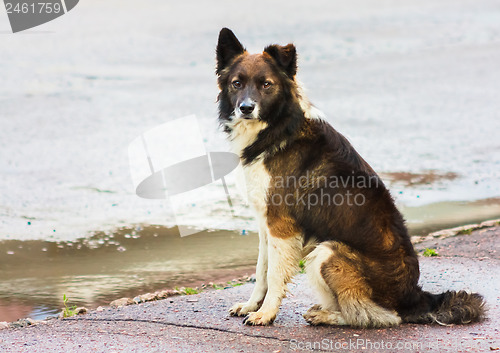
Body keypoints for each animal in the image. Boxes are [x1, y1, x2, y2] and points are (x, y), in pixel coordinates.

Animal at [215, 28, 484, 328]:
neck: (278, 127)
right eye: (237, 83)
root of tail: (415, 298)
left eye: (266, 84)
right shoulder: (266, 223)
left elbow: (274, 274)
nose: (246, 108)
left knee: (376, 315)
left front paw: (266, 313)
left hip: (327, 252)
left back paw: (327, 316)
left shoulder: (280, 225)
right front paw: (251, 305)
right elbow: (261, 270)